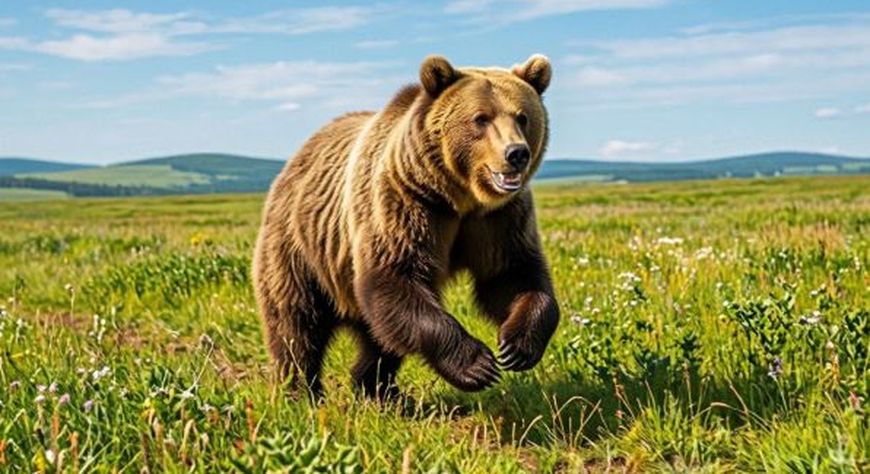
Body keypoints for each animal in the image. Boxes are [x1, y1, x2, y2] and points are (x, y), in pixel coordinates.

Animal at [252, 54, 560, 400]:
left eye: (522, 117)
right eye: (481, 118)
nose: (516, 153)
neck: (459, 198)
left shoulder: (498, 218)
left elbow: (512, 274)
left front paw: (517, 346)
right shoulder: (406, 202)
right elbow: (395, 276)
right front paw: (478, 366)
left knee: (379, 338)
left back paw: (379, 389)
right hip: (299, 249)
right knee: (295, 324)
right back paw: (299, 391)